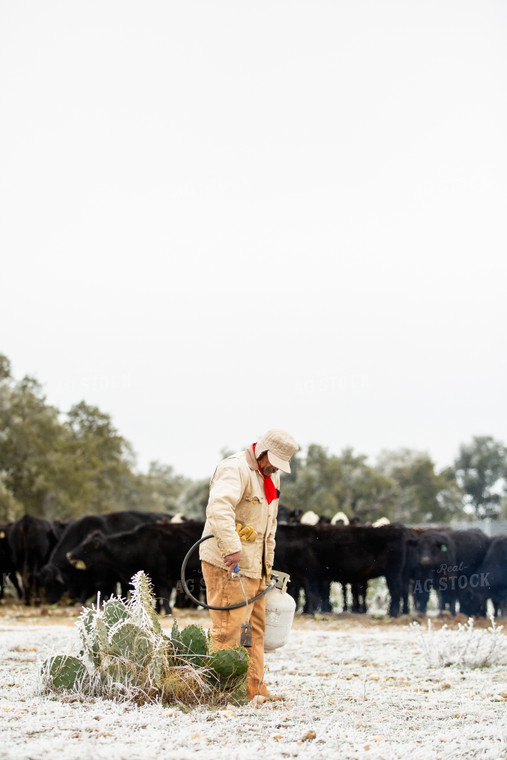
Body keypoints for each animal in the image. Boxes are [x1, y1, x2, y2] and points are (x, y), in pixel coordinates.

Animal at [38, 510, 169, 604]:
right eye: (44, 583)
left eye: (52, 583)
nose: (49, 601)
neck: (82, 532)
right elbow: (87, 587)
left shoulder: (102, 572)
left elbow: (100, 586)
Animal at [66, 520, 204, 616]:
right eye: (83, 542)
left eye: (85, 546)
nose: (69, 555)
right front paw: (155, 611)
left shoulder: (161, 574)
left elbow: (164, 593)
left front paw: (168, 612)